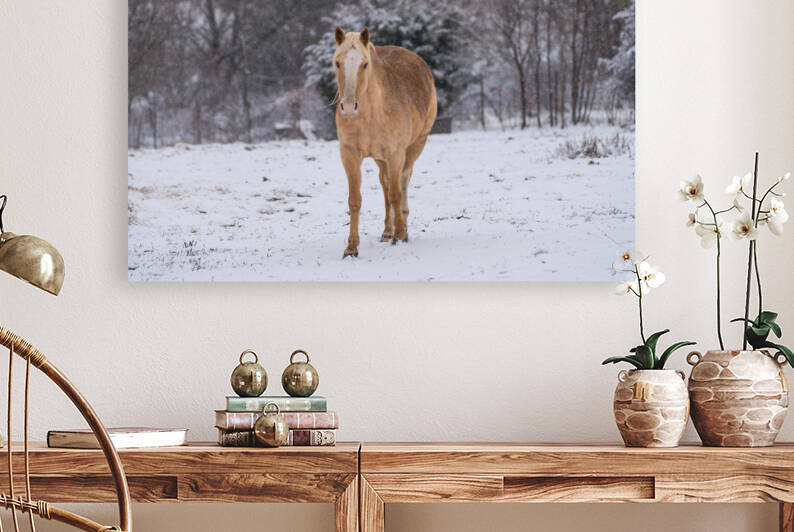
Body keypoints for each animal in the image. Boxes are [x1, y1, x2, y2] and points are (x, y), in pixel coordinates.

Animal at [332, 26, 437, 258]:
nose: (349, 107)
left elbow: (396, 194)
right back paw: (387, 231)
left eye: (364, 64)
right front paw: (351, 247)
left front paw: (401, 234)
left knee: (402, 182)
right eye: (337, 62)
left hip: (415, 147)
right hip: (381, 160)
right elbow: (355, 200)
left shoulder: (396, 154)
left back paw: (401, 228)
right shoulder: (349, 155)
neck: (373, 113)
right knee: (385, 184)